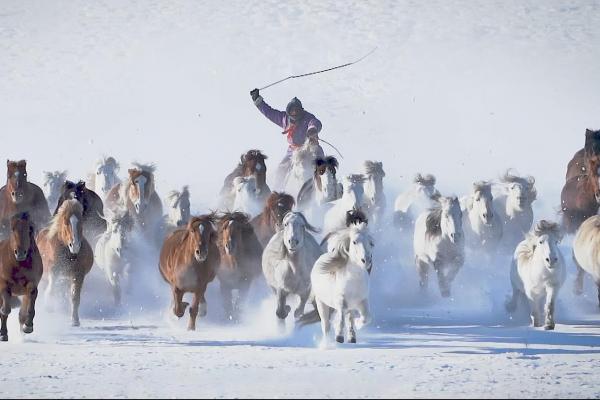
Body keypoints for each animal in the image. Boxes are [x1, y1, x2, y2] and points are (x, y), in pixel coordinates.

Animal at [0, 212, 42, 340]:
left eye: (30, 229)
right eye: (12, 229)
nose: (20, 253)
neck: (19, 264)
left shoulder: (31, 284)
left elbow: (31, 300)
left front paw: (28, 326)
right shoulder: (4, 285)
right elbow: (5, 310)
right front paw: (3, 333)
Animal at [36, 198, 93, 326]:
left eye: (81, 222)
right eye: (66, 222)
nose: (75, 245)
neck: (70, 256)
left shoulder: (78, 275)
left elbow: (75, 297)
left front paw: (75, 321)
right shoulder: (54, 272)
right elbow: (50, 290)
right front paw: (48, 307)